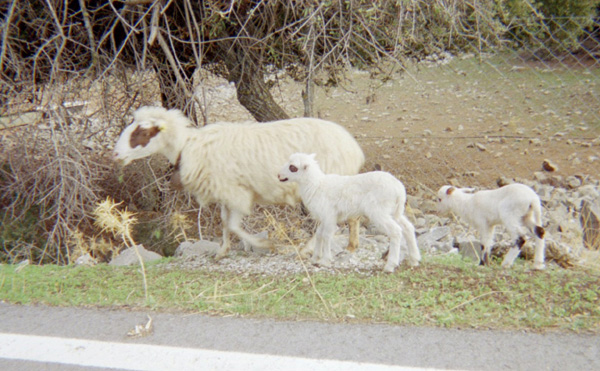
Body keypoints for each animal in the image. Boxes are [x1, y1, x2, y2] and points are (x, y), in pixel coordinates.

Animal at [113, 106, 366, 260]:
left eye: (143, 132)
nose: (117, 155)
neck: (188, 146)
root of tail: (354, 148)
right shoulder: (225, 192)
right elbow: (225, 223)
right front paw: (222, 251)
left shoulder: (236, 192)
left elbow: (234, 225)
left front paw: (265, 245)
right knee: (353, 216)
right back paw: (352, 246)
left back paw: (306, 249)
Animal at [278, 152, 422, 274]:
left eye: (292, 167)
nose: (279, 176)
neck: (316, 185)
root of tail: (399, 189)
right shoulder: (325, 217)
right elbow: (319, 235)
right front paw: (315, 258)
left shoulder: (329, 215)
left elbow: (326, 236)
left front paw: (325, 260)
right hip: (394, 211)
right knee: (408, 228)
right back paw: (414, 259)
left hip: (379, 211)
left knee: (396, 231)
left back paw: (390, 265)